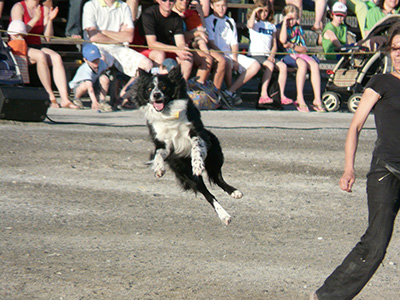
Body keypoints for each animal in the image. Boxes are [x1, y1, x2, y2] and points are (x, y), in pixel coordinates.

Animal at [127, 66, 244, 225]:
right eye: (149, 88)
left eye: (164, 87)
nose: (156, 95)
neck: (167, 114)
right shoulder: (162, 142)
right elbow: (158, 154)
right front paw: (159, 169)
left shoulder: (196, 132)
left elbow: (195, 147)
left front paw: (197, 165)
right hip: (187, 173)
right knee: (208, 194)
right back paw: (224, 215)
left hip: (214, 151)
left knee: (218, 178)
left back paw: (234, 193)